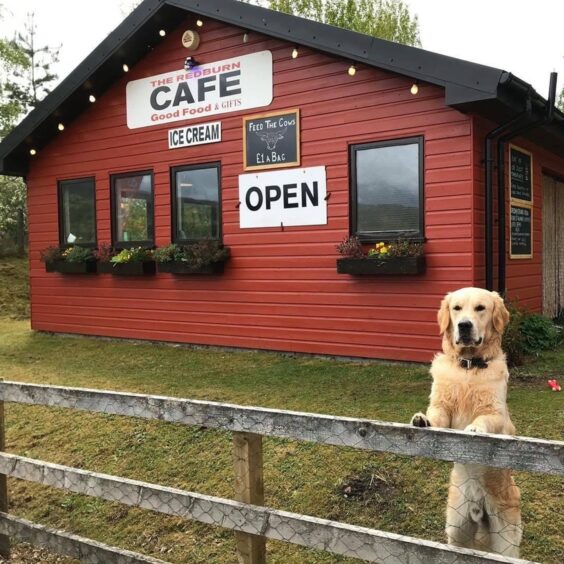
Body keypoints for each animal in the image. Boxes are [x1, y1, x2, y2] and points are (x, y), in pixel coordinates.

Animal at [412, 288, 524, 556]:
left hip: (505, 538)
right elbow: (436, 416)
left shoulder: (496, 414)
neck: (469, 367)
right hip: (456, 528)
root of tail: (478, 507)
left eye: (480, 308)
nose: (464, 325)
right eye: (457, 308)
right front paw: (422, 420)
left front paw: (474, 427)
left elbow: (484, 418)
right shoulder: (442, 408)